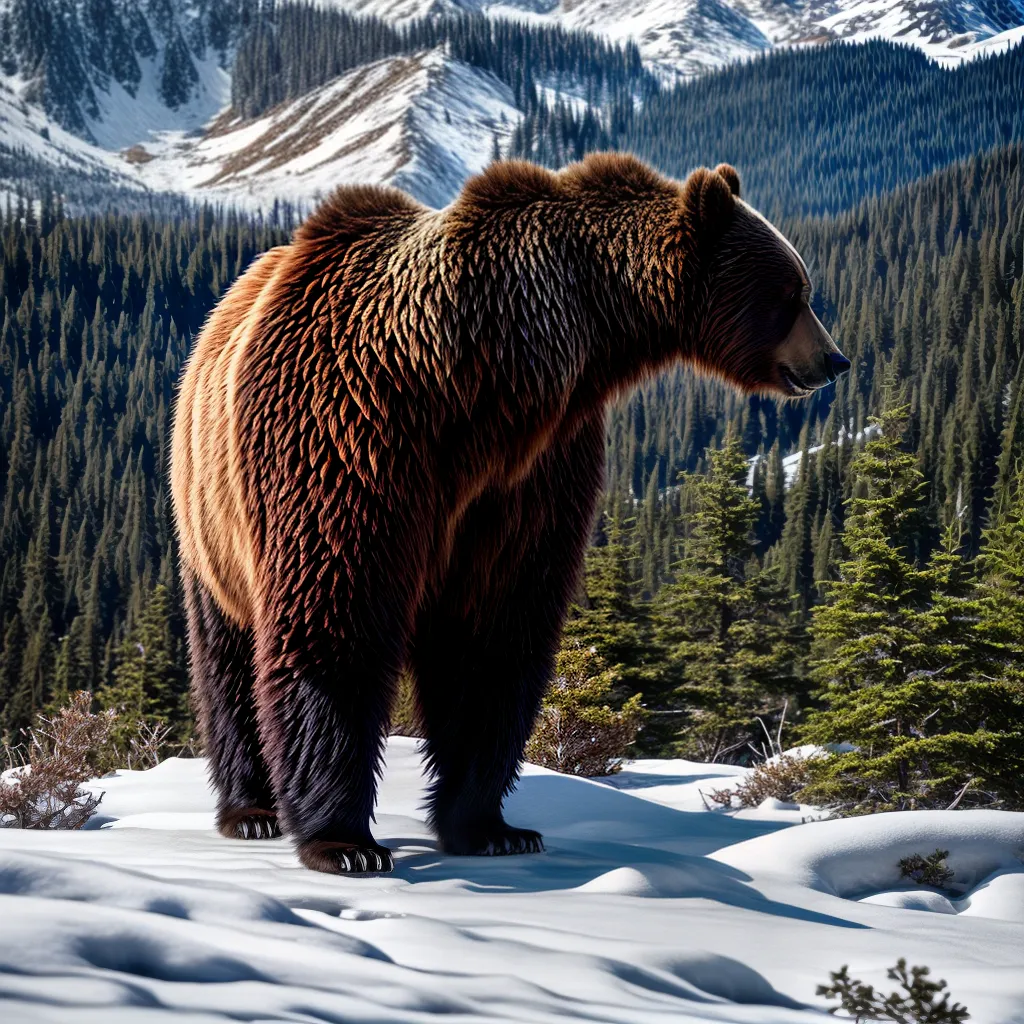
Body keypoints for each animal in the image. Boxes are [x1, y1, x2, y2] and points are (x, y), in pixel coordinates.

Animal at [170, 154, 849, 874]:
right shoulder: (350, 435)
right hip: (211, 516)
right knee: (226, 660)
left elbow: (496, 635)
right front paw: (345, 842)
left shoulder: (526, 479)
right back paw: (251, 810)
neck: (479, 382)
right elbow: (335, 613)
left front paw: (491, 827)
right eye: (792, 292)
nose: (833, 358)